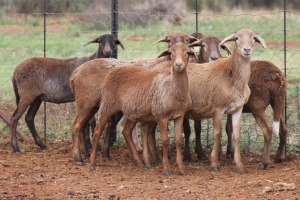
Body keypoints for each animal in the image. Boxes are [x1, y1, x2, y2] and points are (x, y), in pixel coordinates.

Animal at [185, 32, 286, 169]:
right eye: (203, 45)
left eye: (220, 46)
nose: (214, 58)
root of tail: (276, 75)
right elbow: (228, 128)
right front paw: (227, 153)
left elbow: (222, 129)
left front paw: (223, 153)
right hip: (279, 104)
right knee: (283, 130)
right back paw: (279, 157)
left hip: (258, 107)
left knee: (267, 130)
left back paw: (264, 162)